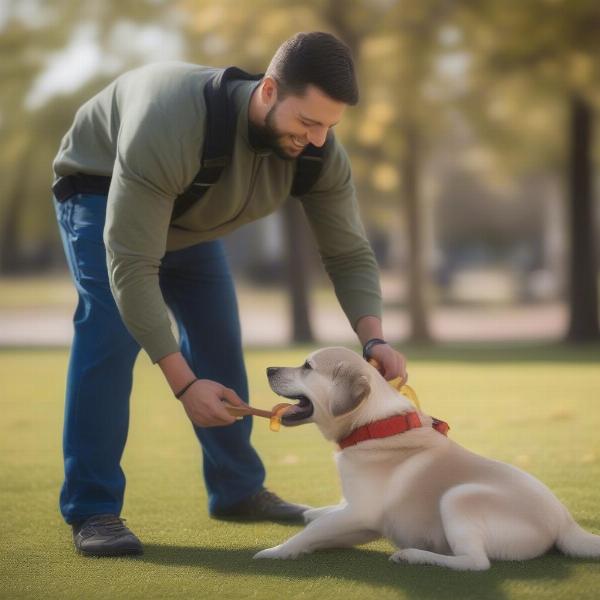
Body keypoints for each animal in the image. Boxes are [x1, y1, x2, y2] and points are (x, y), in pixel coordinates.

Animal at [253, 344, 600, 568]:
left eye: (307, 367)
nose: (268, 368)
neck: (372, 425)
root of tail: (566, 521)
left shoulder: (360, 514)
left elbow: (308, 533)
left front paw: (276, 551)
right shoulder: (352, 513)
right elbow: (320, 519)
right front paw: (312, 514)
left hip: (459, 497)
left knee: (475, 563)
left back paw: (415, 555)